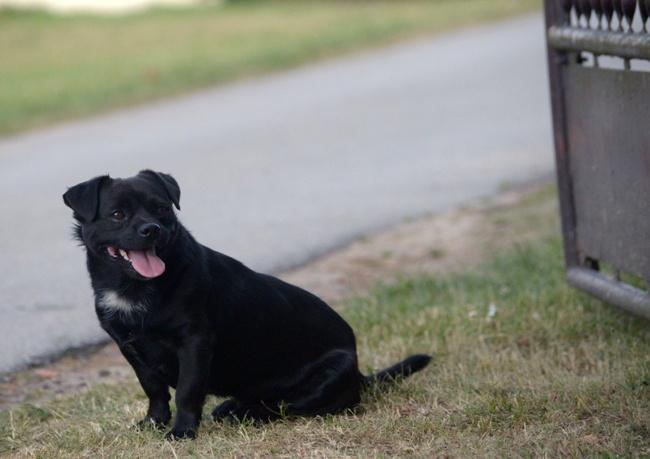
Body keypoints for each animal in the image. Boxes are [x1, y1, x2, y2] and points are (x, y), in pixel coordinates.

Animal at [63, 171, 430, 440]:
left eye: (161, 209)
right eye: (117, 215)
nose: (151, 229)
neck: (135, 287)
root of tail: (359, 374)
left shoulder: (195, 342)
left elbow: (187, 390)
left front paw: (182, 432)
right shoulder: (129, 347)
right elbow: (153, 389)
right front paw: (153, 423)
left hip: (323, 380)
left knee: (280, 407)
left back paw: (243, 414)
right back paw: (231, 407)